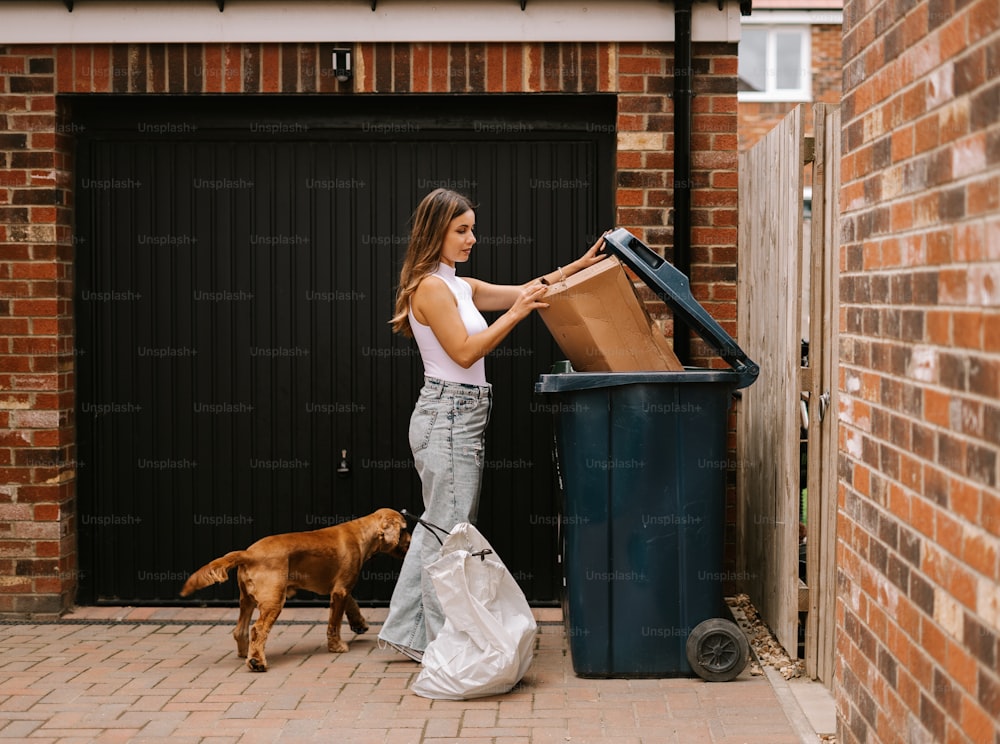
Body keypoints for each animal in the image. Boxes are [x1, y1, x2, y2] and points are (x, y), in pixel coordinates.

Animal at [180, 508, 410, 672]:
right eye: (405, 529)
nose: (410, 542)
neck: (362, 533)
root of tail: (248, 553)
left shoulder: (341, 588)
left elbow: (352, 604)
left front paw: (359, 624)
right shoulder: (341, 589)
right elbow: (334, 624)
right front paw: (337, 647)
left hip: (246, 599)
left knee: (241, 630)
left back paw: (247, 654)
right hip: (273, 600)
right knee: (258, 629)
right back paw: (257, 662)